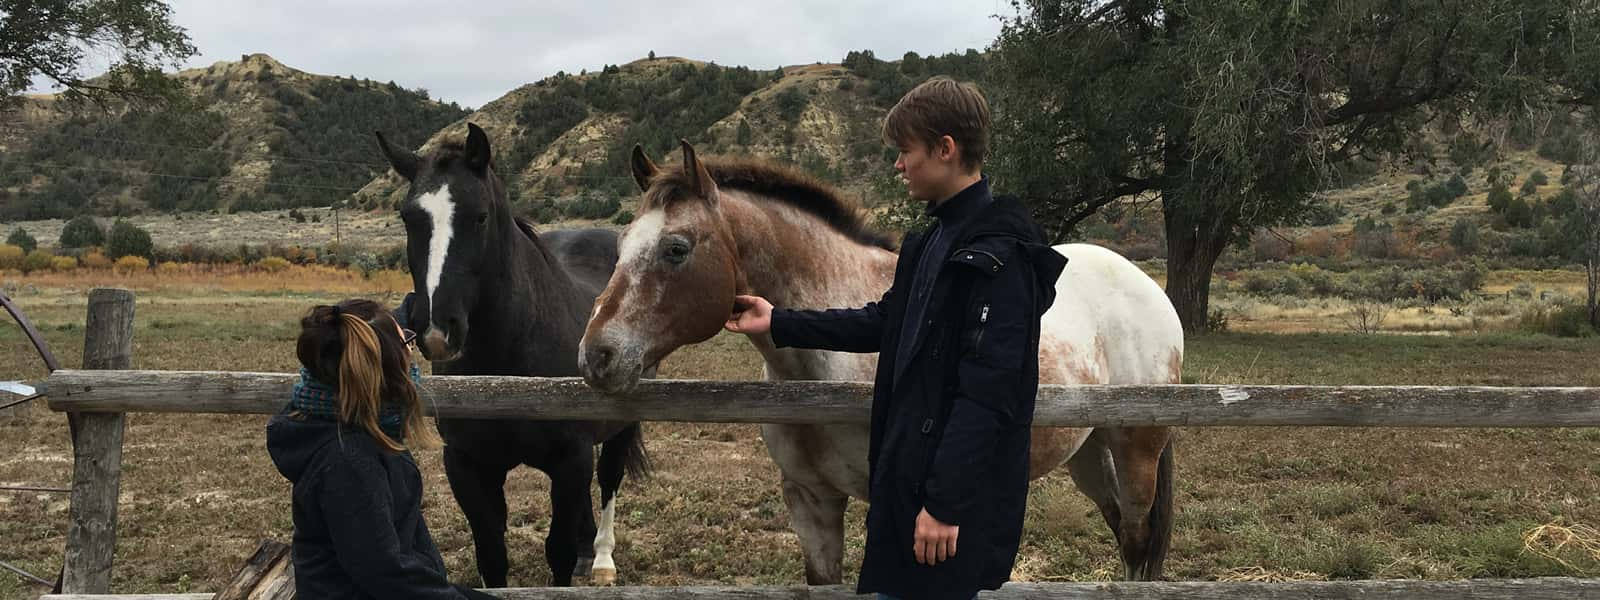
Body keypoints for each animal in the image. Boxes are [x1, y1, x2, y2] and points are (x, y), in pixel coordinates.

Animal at [376, 123, 649, 588]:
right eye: (409, 218)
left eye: (480, 216)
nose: (437, 329)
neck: (506, 373)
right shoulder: (468, 464)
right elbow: (491, 555)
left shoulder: (569, 459)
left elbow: (557, 553)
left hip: (621, 426)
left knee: (609, 479)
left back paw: (600, 560)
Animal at [582, 143, 1184, 585]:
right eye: (621, 244)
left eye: (677, 249)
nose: (596, 354)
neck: (820, 374)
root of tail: (1143, 284)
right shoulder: (811, 501)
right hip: (1089, 451)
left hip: (1136, 449)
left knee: (1136, 540)